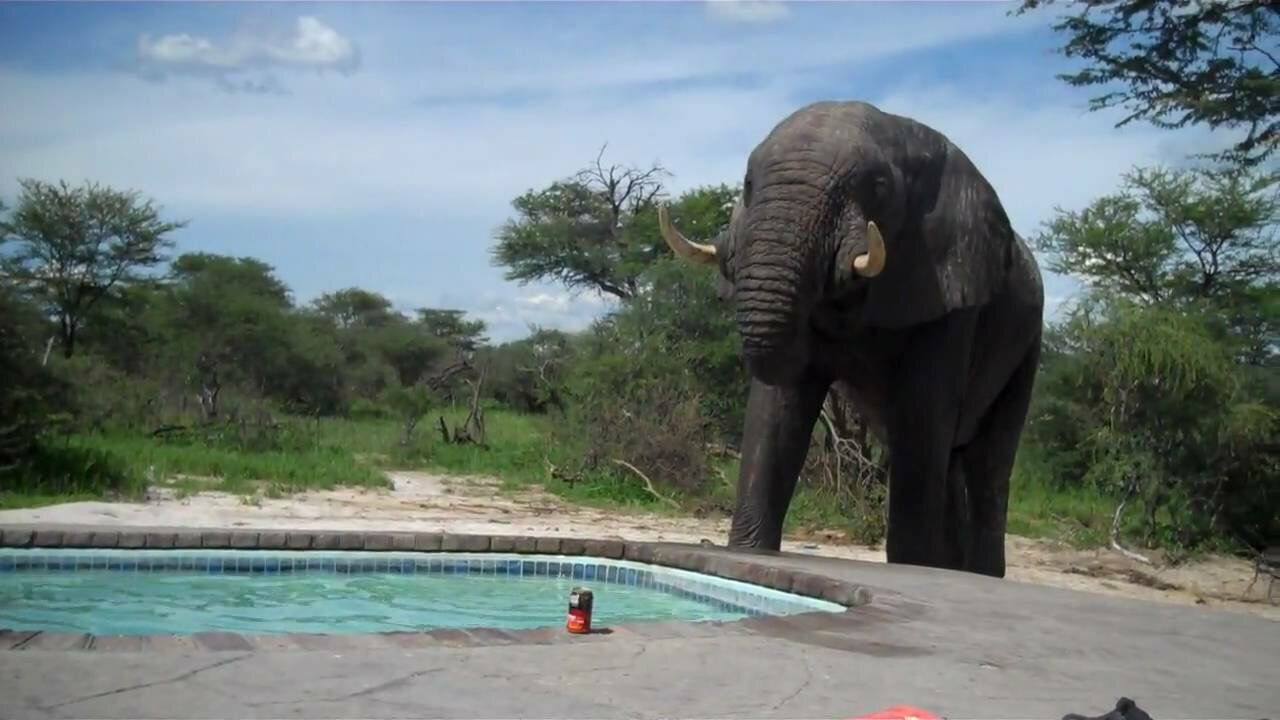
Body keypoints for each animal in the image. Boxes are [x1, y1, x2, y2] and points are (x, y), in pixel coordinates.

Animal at [660, 99, 1039, 576]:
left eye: (877, 186)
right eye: (747, 185)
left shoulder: (952, 290)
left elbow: (922, 413)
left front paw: (912, 570)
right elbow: (777, 409)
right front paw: (749, 553)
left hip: (1028, 344)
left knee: (988, 463)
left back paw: (976, 574)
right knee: (951, 456)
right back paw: (949, 569)